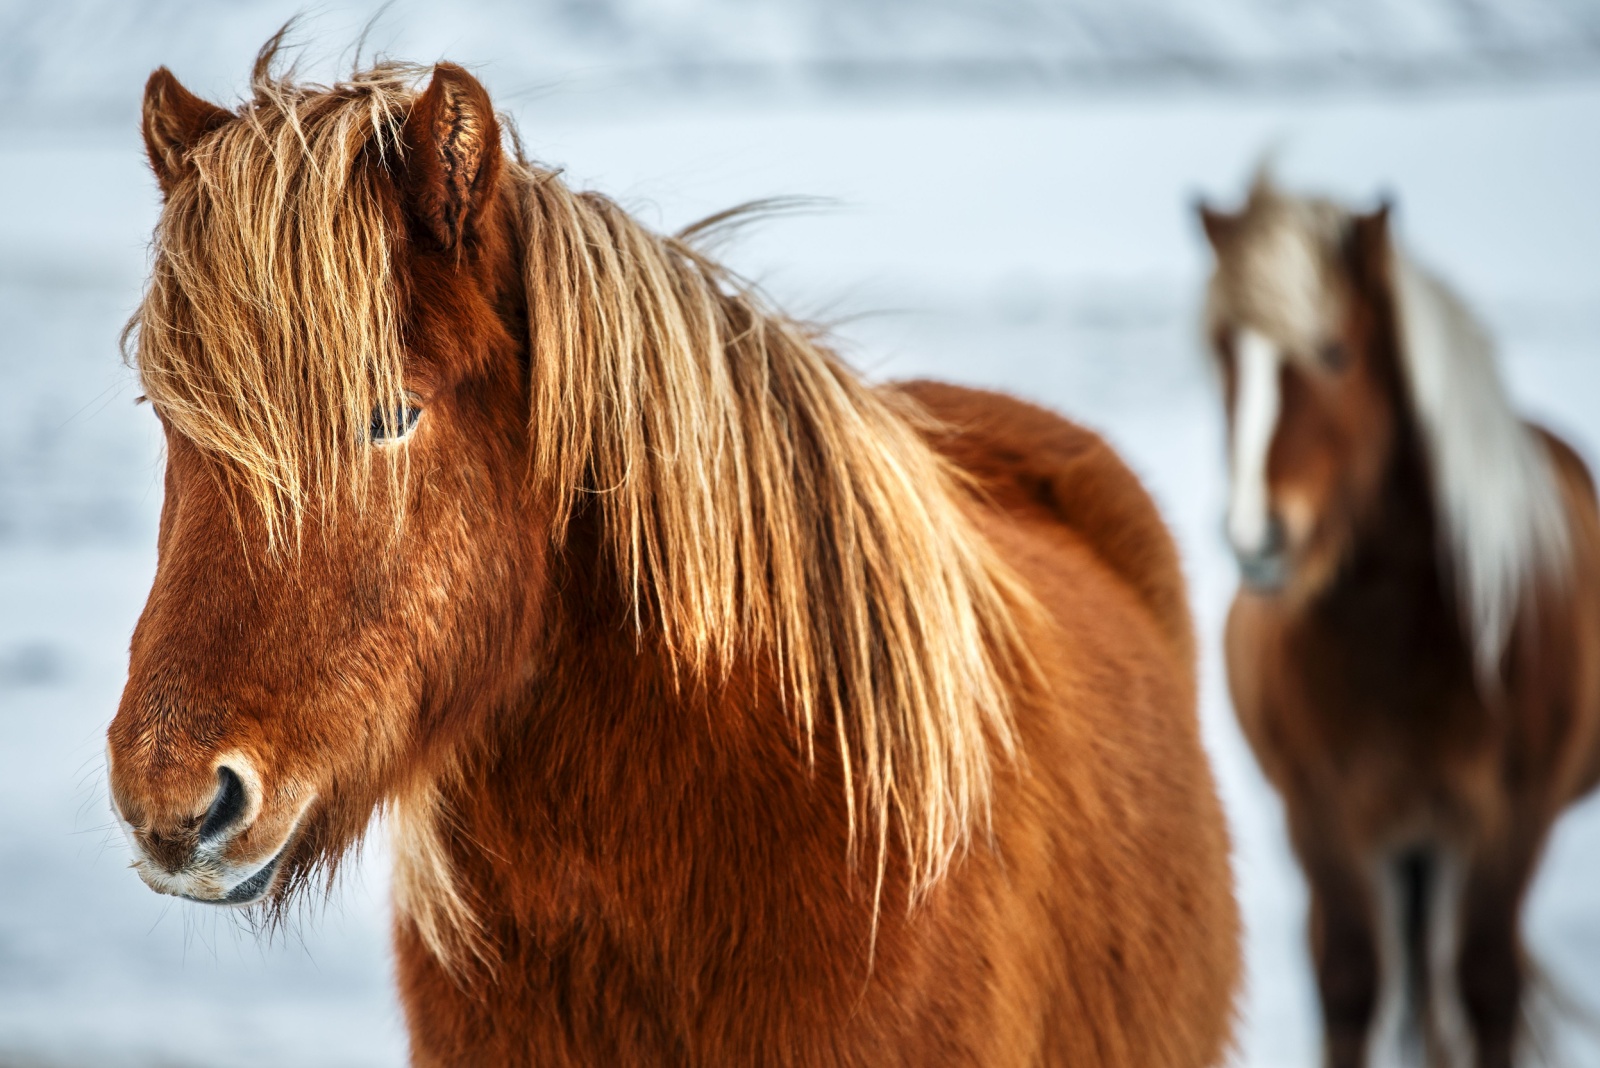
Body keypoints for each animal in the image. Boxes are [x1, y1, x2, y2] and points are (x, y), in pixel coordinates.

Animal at [1203, 177, 1600, 1068]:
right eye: (1220, 354)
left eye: (1335, 353)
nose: (1257, 539)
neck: (1399, 645)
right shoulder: (1322, 813)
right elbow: (1350, 982)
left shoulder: (1510, 817)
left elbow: (1486, 983)